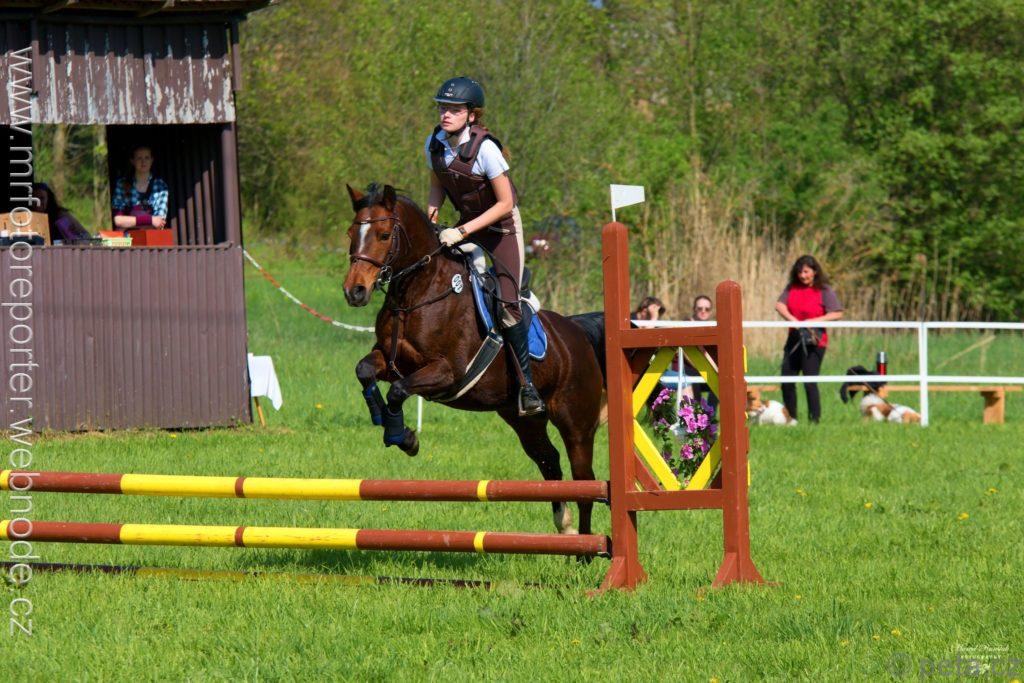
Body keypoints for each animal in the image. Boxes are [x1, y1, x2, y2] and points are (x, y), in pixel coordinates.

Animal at [342, 183, 605, 536]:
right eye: (351, 233)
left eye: (384, 235)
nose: (354, 291)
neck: (417, 294)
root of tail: (577, 331)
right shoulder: (392, 361)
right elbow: (365, 371)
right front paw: (384, 419)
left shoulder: (447, 372)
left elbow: (398, 390)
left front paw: (403, 437)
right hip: (523, 420)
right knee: (549, 461)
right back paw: (565, 526)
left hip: (576, 423)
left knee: (584, 479)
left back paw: (587, 543)